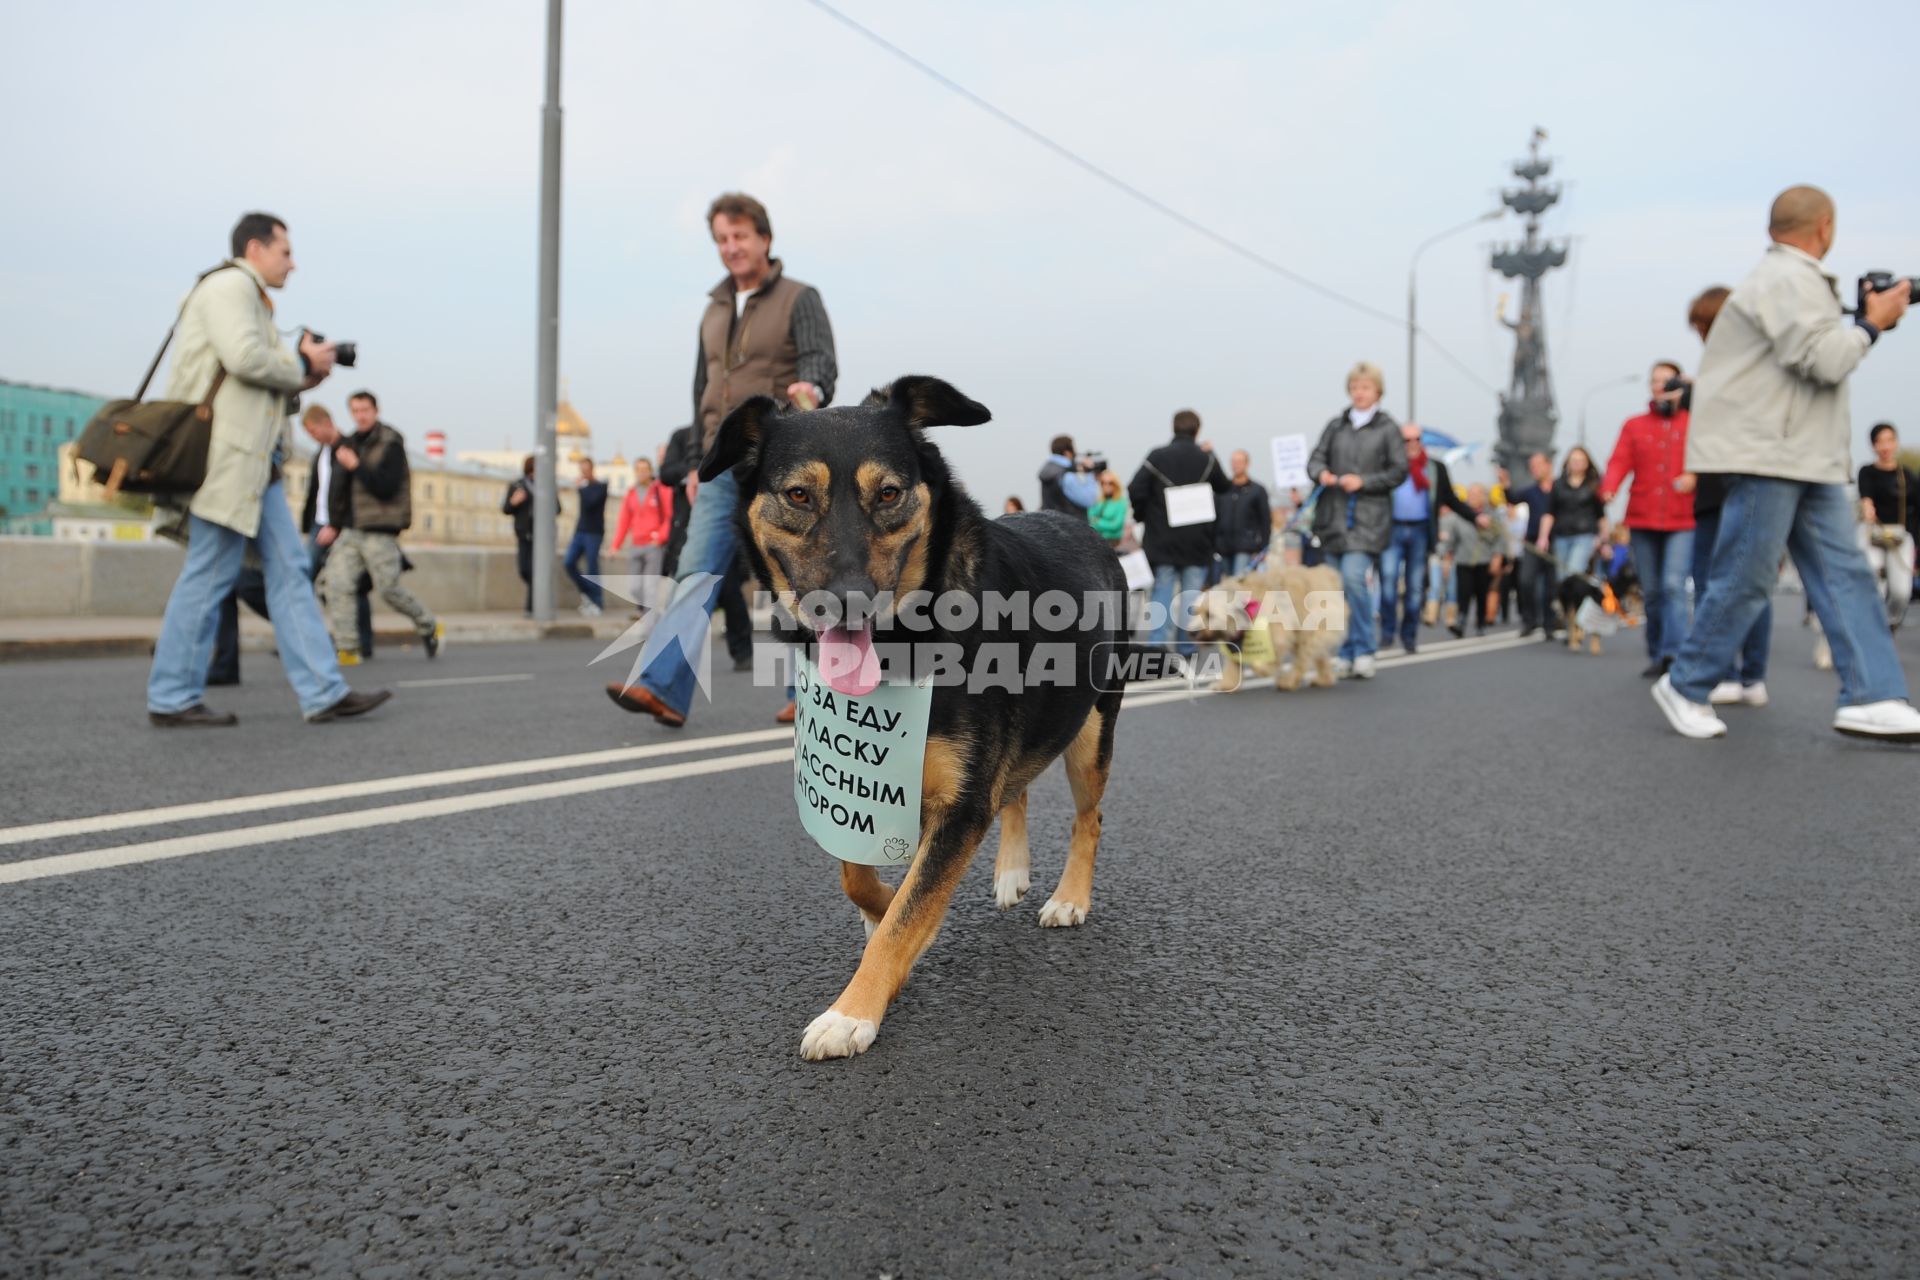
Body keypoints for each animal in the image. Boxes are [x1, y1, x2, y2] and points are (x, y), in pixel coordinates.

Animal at [702, 378, 1121, 1059]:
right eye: (798, 494)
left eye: (890, 493)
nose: (846, 601)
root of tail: (1075, 522)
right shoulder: (861, 795)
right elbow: (863, 881)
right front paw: (881, 913)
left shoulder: (961, 806)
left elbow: (908, 911)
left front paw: (853, 1011)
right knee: (1017, 791)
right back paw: (1011, 873)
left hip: (1091, 731)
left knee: (1089, 817)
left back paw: (1068, 898)